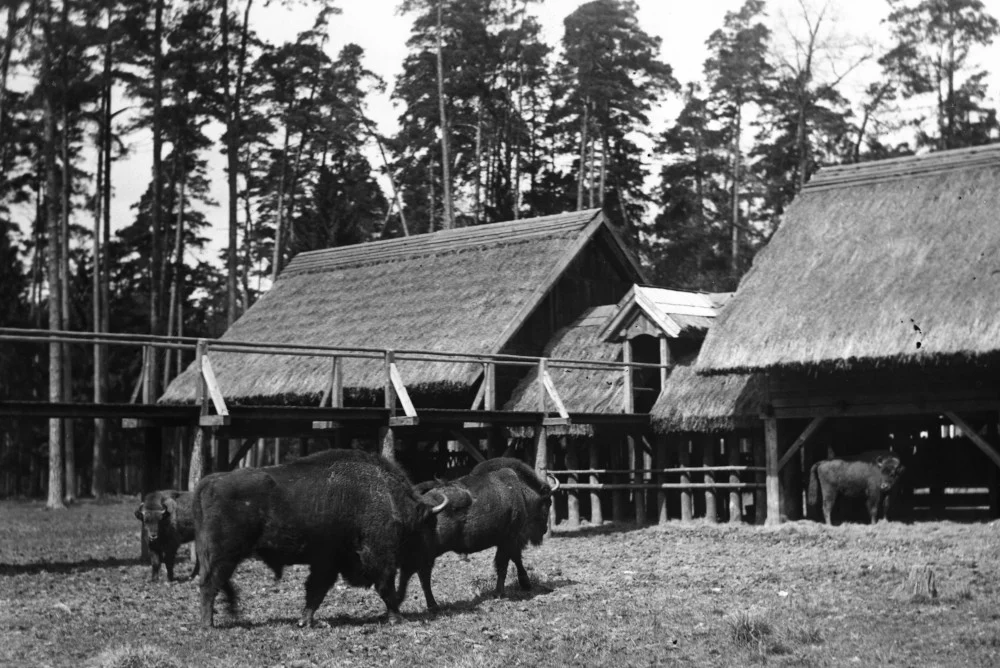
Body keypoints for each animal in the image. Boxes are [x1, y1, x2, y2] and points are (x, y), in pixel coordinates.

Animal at [192, 449, 448, 628]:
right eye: (427, 526)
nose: (429, 558)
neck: (389, 497)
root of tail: (209, 482)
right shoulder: (379, 557)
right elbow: (385, 585)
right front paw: (397, 618)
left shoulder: (328, 562)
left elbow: (316, 590)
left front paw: (305, 621)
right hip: (224, 555)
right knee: (210, 585)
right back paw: (208, 625)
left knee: (214, 583)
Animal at [401, 457, 559, 609]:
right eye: (548, 502)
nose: (545, 529)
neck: (521, 491)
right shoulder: (510, 539)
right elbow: (504, 565)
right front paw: (500, 593)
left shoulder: (508, 541)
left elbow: (514, 559)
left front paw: (523, 584)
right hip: (429, 553)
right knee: (424, 574)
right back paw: (433, 605)